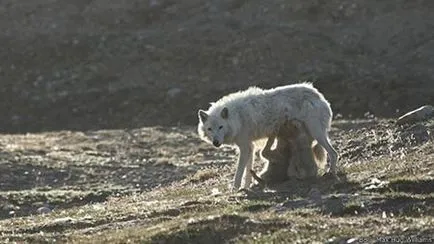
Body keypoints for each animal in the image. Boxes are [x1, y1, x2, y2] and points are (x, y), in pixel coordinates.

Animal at [198, 83, 340, 190]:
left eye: (221, 127)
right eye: (210, 129)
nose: (216, 142)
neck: (237, 117)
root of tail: (319, 96)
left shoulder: (245, 147)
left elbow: (239, 172)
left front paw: (235, 189)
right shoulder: (249, 147)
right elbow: (248, 171)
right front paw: (246, 187)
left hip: (317, 133)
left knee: (334, 153)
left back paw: (331, 174)